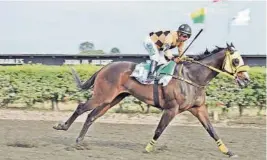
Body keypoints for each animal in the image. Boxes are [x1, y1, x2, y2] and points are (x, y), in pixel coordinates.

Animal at [54, 42, 251, 158]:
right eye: (235, 61)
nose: (247, 79)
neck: (192, 77)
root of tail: (105, 67)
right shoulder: (171, 109)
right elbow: (159, 129)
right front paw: (148, 148)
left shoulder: (198, 108)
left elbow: (212, 130)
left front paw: (228, 151)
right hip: (103, 96)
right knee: (81, 107)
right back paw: (62, 127)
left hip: (112, 99)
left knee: (91, 116)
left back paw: (79, 142)